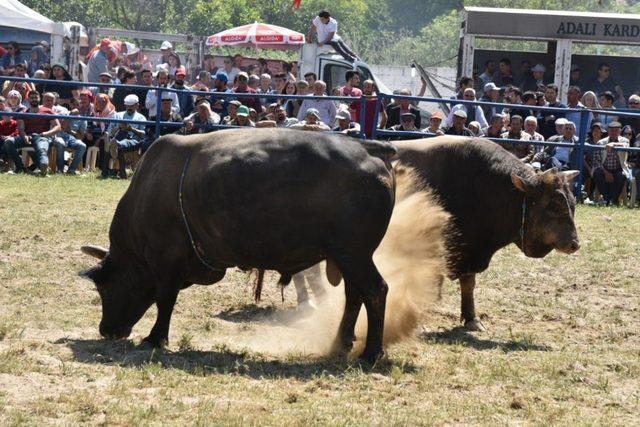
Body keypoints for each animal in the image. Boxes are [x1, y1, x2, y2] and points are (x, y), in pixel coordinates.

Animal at [81, 129, 396, 362]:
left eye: (104, 287)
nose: (106, 330)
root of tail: (369, 148)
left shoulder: (167, 264)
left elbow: (165, 301)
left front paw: (155, 338)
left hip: (354, 255)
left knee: (375, 290)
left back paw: (371, 353)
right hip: (347, 258)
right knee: (355, 295)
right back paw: (341, 342)